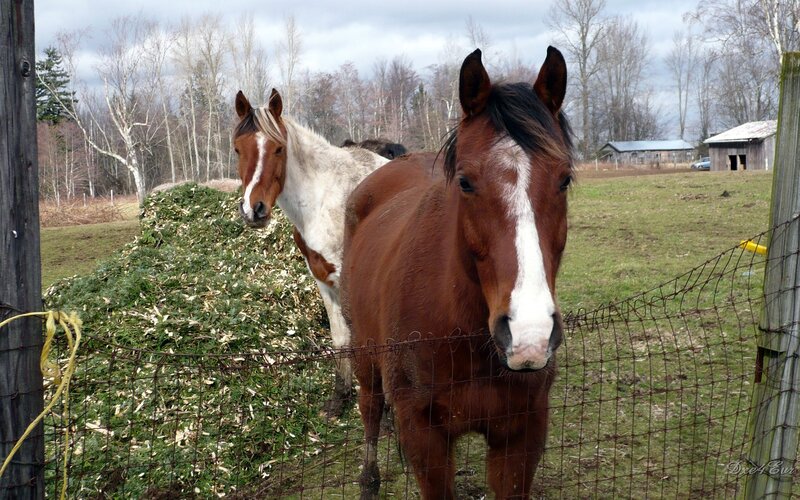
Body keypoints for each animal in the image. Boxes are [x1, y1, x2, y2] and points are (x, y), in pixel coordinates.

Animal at [233, 89, 390, 417]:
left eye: (278, 149)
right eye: (237, 149)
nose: (254, 210)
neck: (326, 199)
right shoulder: (323, 279)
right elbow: (341, 338)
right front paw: (339, 399)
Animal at [341, 46, 573, 499]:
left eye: (565, 179)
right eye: (465, 182)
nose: (528, 334)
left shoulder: (522, 436)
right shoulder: (423, 437)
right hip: (362, 351)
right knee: (371, 407)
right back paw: (368, 478)